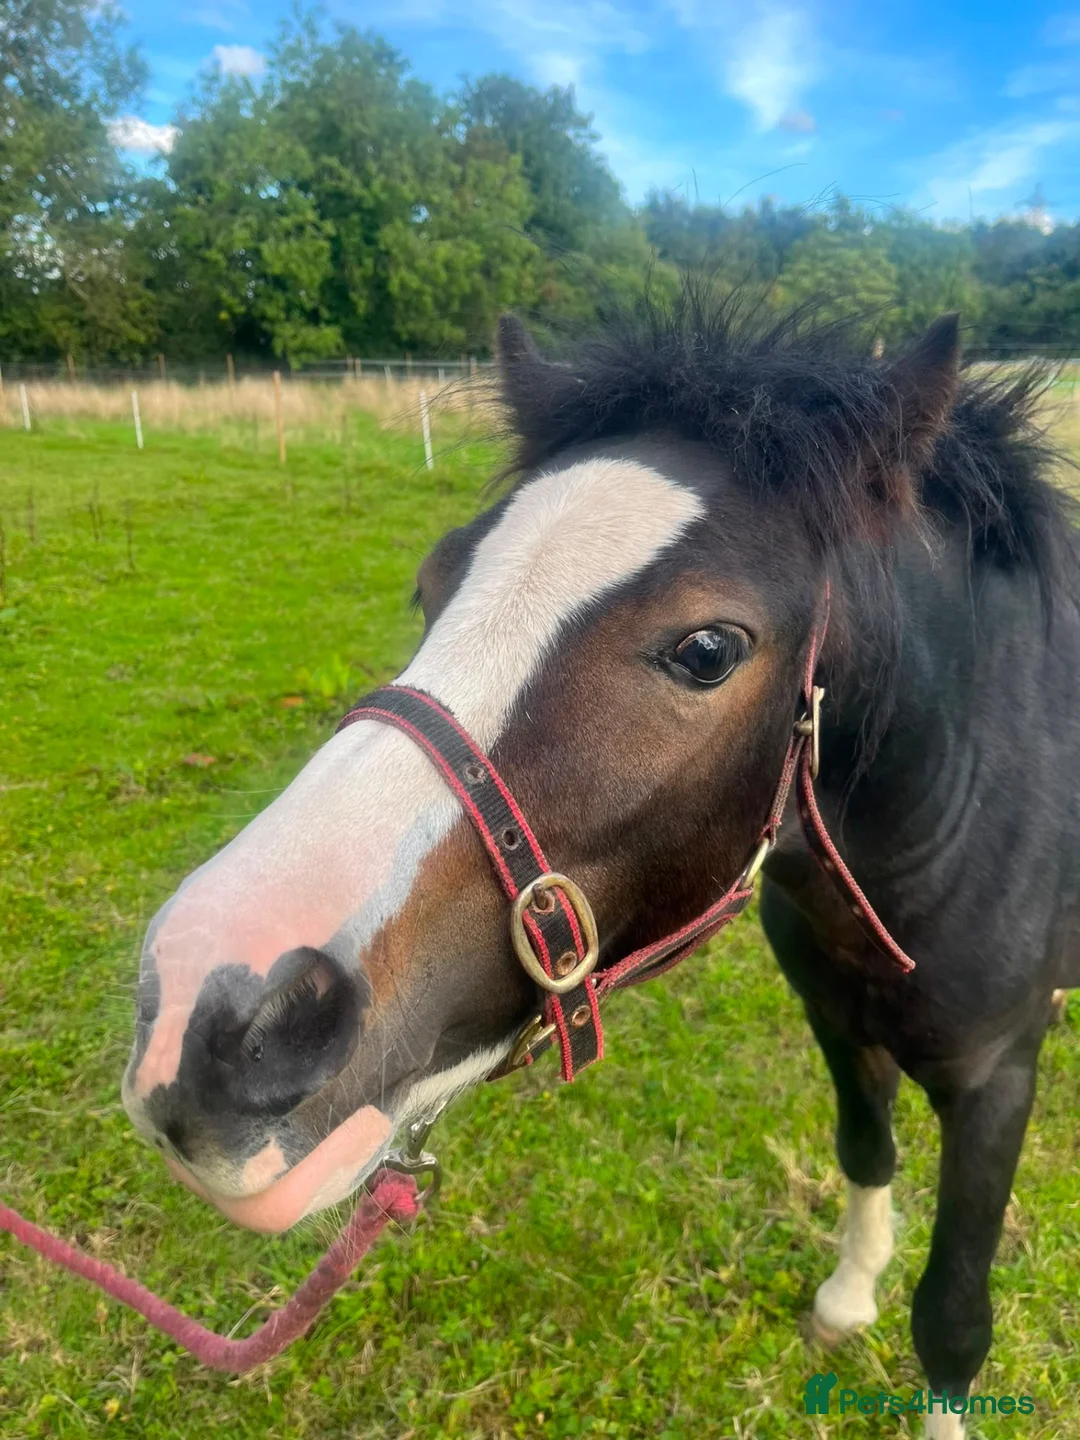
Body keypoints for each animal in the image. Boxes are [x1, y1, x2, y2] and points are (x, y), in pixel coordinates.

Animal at [121, 301, 1080, 1437]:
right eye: (432, 584)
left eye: (708, 649)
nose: (207, 1022)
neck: (975, 793)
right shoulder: (839, 1022)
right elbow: (865, 1154)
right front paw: (849, 1297)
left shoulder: (994, 1078)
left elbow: (955, 1316)